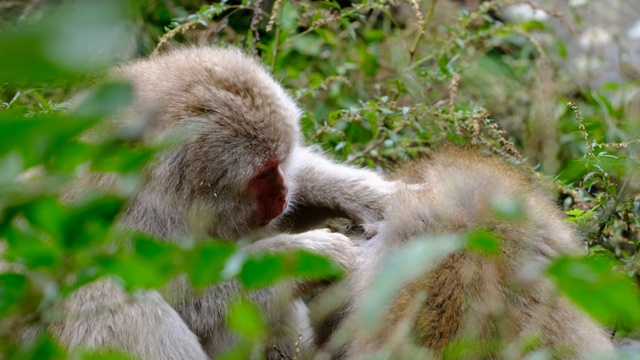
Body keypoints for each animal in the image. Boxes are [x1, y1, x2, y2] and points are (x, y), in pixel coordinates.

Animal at [51, 45, 396, 360]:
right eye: (264, 173)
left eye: (280, 162)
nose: (283, 194)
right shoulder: (131, 219)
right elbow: (189, 299)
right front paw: (308, 256)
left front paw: (377, 197)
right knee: (108, 288)